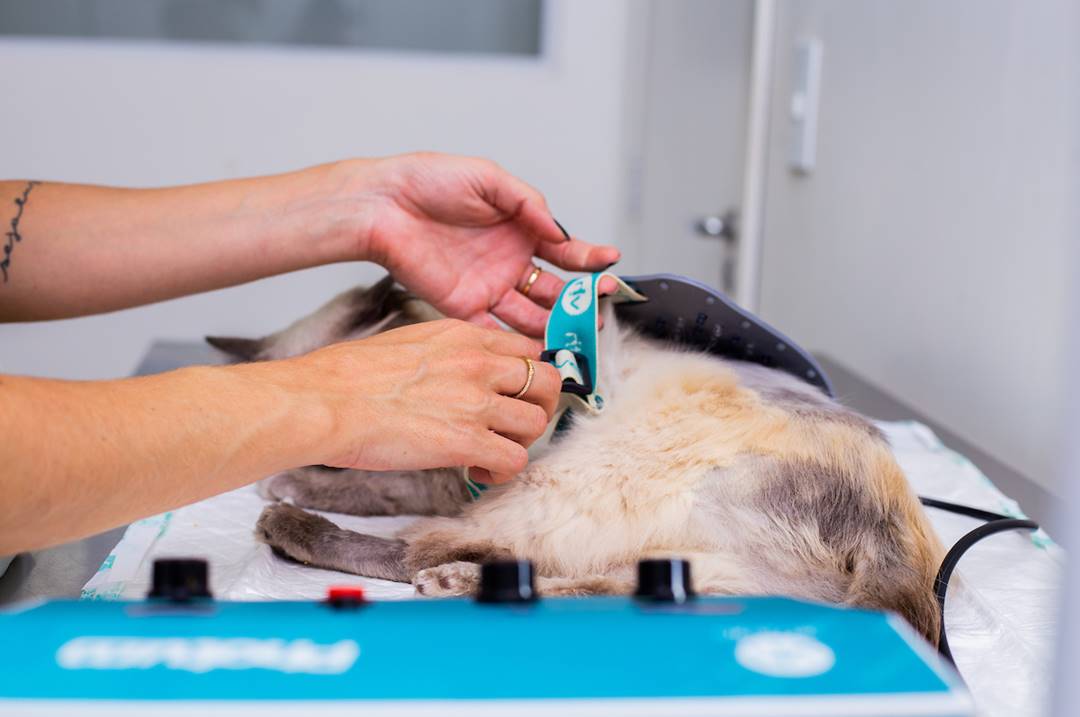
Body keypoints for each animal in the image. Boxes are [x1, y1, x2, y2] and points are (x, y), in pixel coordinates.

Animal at [206, 274, 941, 643]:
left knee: (421, 551)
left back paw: (318, 537)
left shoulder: (448, 478)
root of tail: (898, 527)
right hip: (708, 571)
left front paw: (289, 483)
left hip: (559, 481)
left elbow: (370, 487)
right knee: (583, 587)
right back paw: (457, 583)